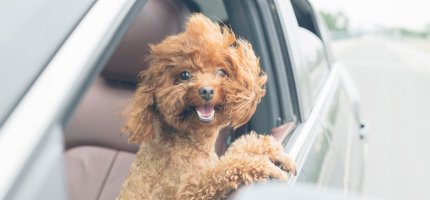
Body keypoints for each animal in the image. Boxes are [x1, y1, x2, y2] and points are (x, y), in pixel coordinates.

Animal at [116, 13, 296, 199]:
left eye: (221, 72)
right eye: (184, 75)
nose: (207, 91)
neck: (190, 143)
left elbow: (236, 149)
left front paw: (271, 150)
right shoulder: (186, 191)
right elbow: (221, 170)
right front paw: (263, 164)